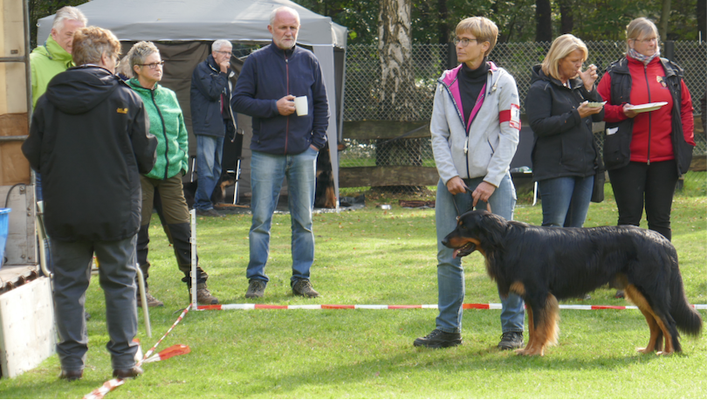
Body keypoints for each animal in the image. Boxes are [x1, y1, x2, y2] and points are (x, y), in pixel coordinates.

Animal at [442, 209, 704, 356]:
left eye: (464, 226)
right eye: (457, 223)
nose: (443, 240)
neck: (507, 242)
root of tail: (662, 240)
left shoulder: (539, 295)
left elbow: (539, 329)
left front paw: (534, 352)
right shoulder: (531, 298)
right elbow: (533, 327)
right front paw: (528, 349)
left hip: (650, 290)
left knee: (668, 322)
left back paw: (669, 353)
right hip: (638, 293)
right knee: (655, 325)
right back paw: (649, 350)